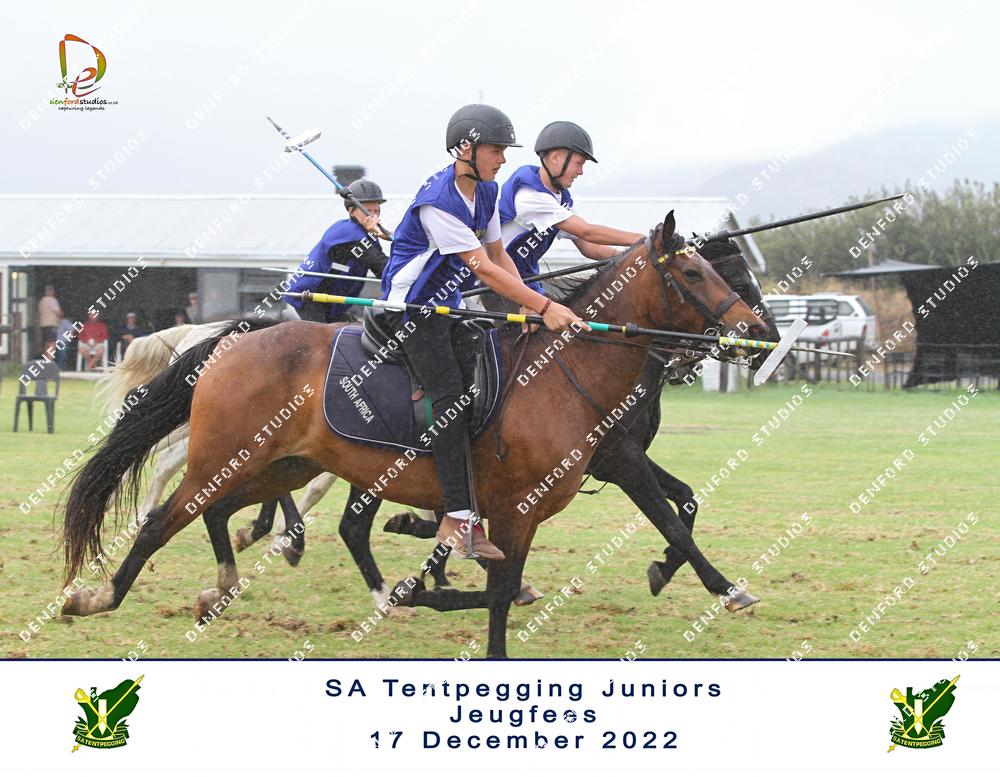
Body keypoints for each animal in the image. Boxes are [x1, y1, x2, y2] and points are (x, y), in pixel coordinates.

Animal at [61, 212, 768, 657]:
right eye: (698, 274)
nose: (757, 335)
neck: (565, 372)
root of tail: (233, 341)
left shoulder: (547, 496)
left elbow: (669, 515)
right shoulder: (554, 491)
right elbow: (663, 524)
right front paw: (722, 587)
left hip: (281, 463)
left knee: (233, 513)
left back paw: (233, 582)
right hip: (230, 459)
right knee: (165, 518)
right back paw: (98, 597)